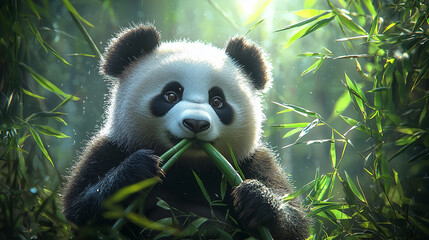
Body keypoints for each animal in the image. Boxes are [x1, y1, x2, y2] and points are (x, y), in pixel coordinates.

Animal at [61, 24, 308, 240]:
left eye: (217, 101)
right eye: (171, 95)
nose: (196, 123)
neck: (188, 166)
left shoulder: (251, 161)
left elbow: (294, 220)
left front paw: (256, 198)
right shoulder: (112, 148)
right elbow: (81, 209)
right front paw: (140, 167)